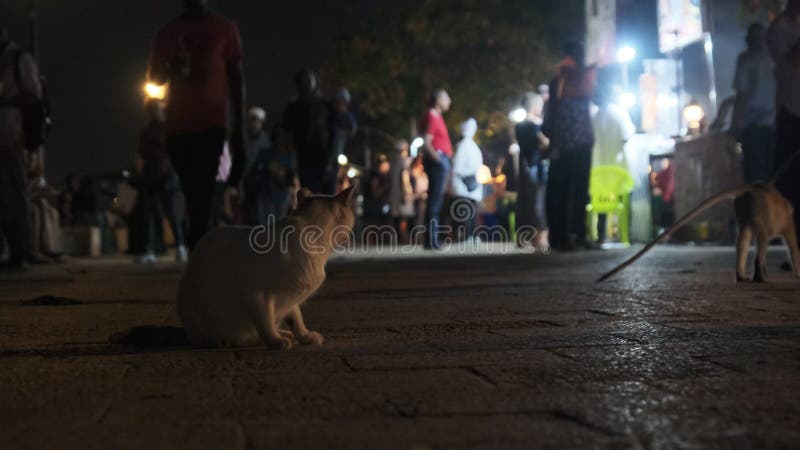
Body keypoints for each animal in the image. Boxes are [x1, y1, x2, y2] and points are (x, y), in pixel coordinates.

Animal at [177, 185, 354, 350]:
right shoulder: (258, 297)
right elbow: (265, 324)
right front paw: (276, 342)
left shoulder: (290, 300)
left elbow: (296, 319)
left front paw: (304, 336)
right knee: (232, 338)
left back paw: (285, 334)